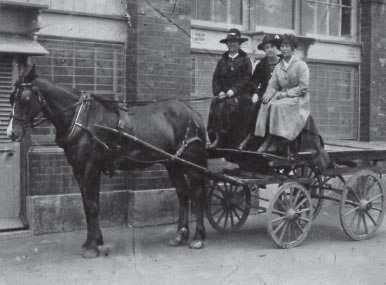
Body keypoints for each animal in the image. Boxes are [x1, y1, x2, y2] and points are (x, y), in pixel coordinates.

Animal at [6, 64, 208, 258]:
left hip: (190, 162)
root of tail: (192, 112)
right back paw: (180, 235)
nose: (11, 133)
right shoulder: (79, 168)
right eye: (11, 98)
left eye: (25, 98)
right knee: (183, 193)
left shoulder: (90, 166)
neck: (82, 119)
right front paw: (94, 241)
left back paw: (198, 237)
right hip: (173, 163)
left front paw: (92, 247)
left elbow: (91, 205)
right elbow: (89, 203)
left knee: (197, 194)